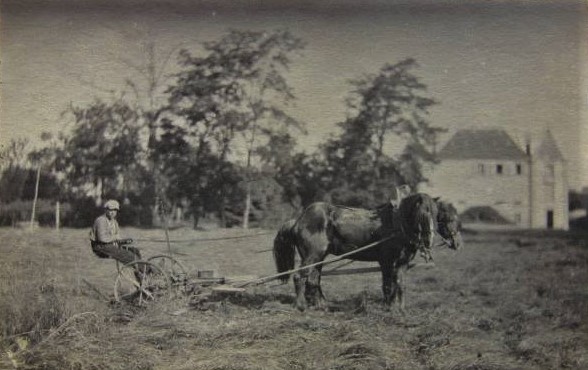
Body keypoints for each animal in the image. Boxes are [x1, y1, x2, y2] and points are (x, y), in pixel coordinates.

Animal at [274, 194, 462, 312]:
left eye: (436, 214)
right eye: (423, 214)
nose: (457, 243)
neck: (396, 225)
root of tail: (298, 221)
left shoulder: (402, 262)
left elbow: (400, 284)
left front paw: (400, 309)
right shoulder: (386, 261)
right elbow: (387, 285)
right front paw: (388, 307)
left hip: (319, 258)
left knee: (313, 280)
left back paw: (321, 305)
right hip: (312, 255)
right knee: (299, 277)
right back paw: (301, 306)